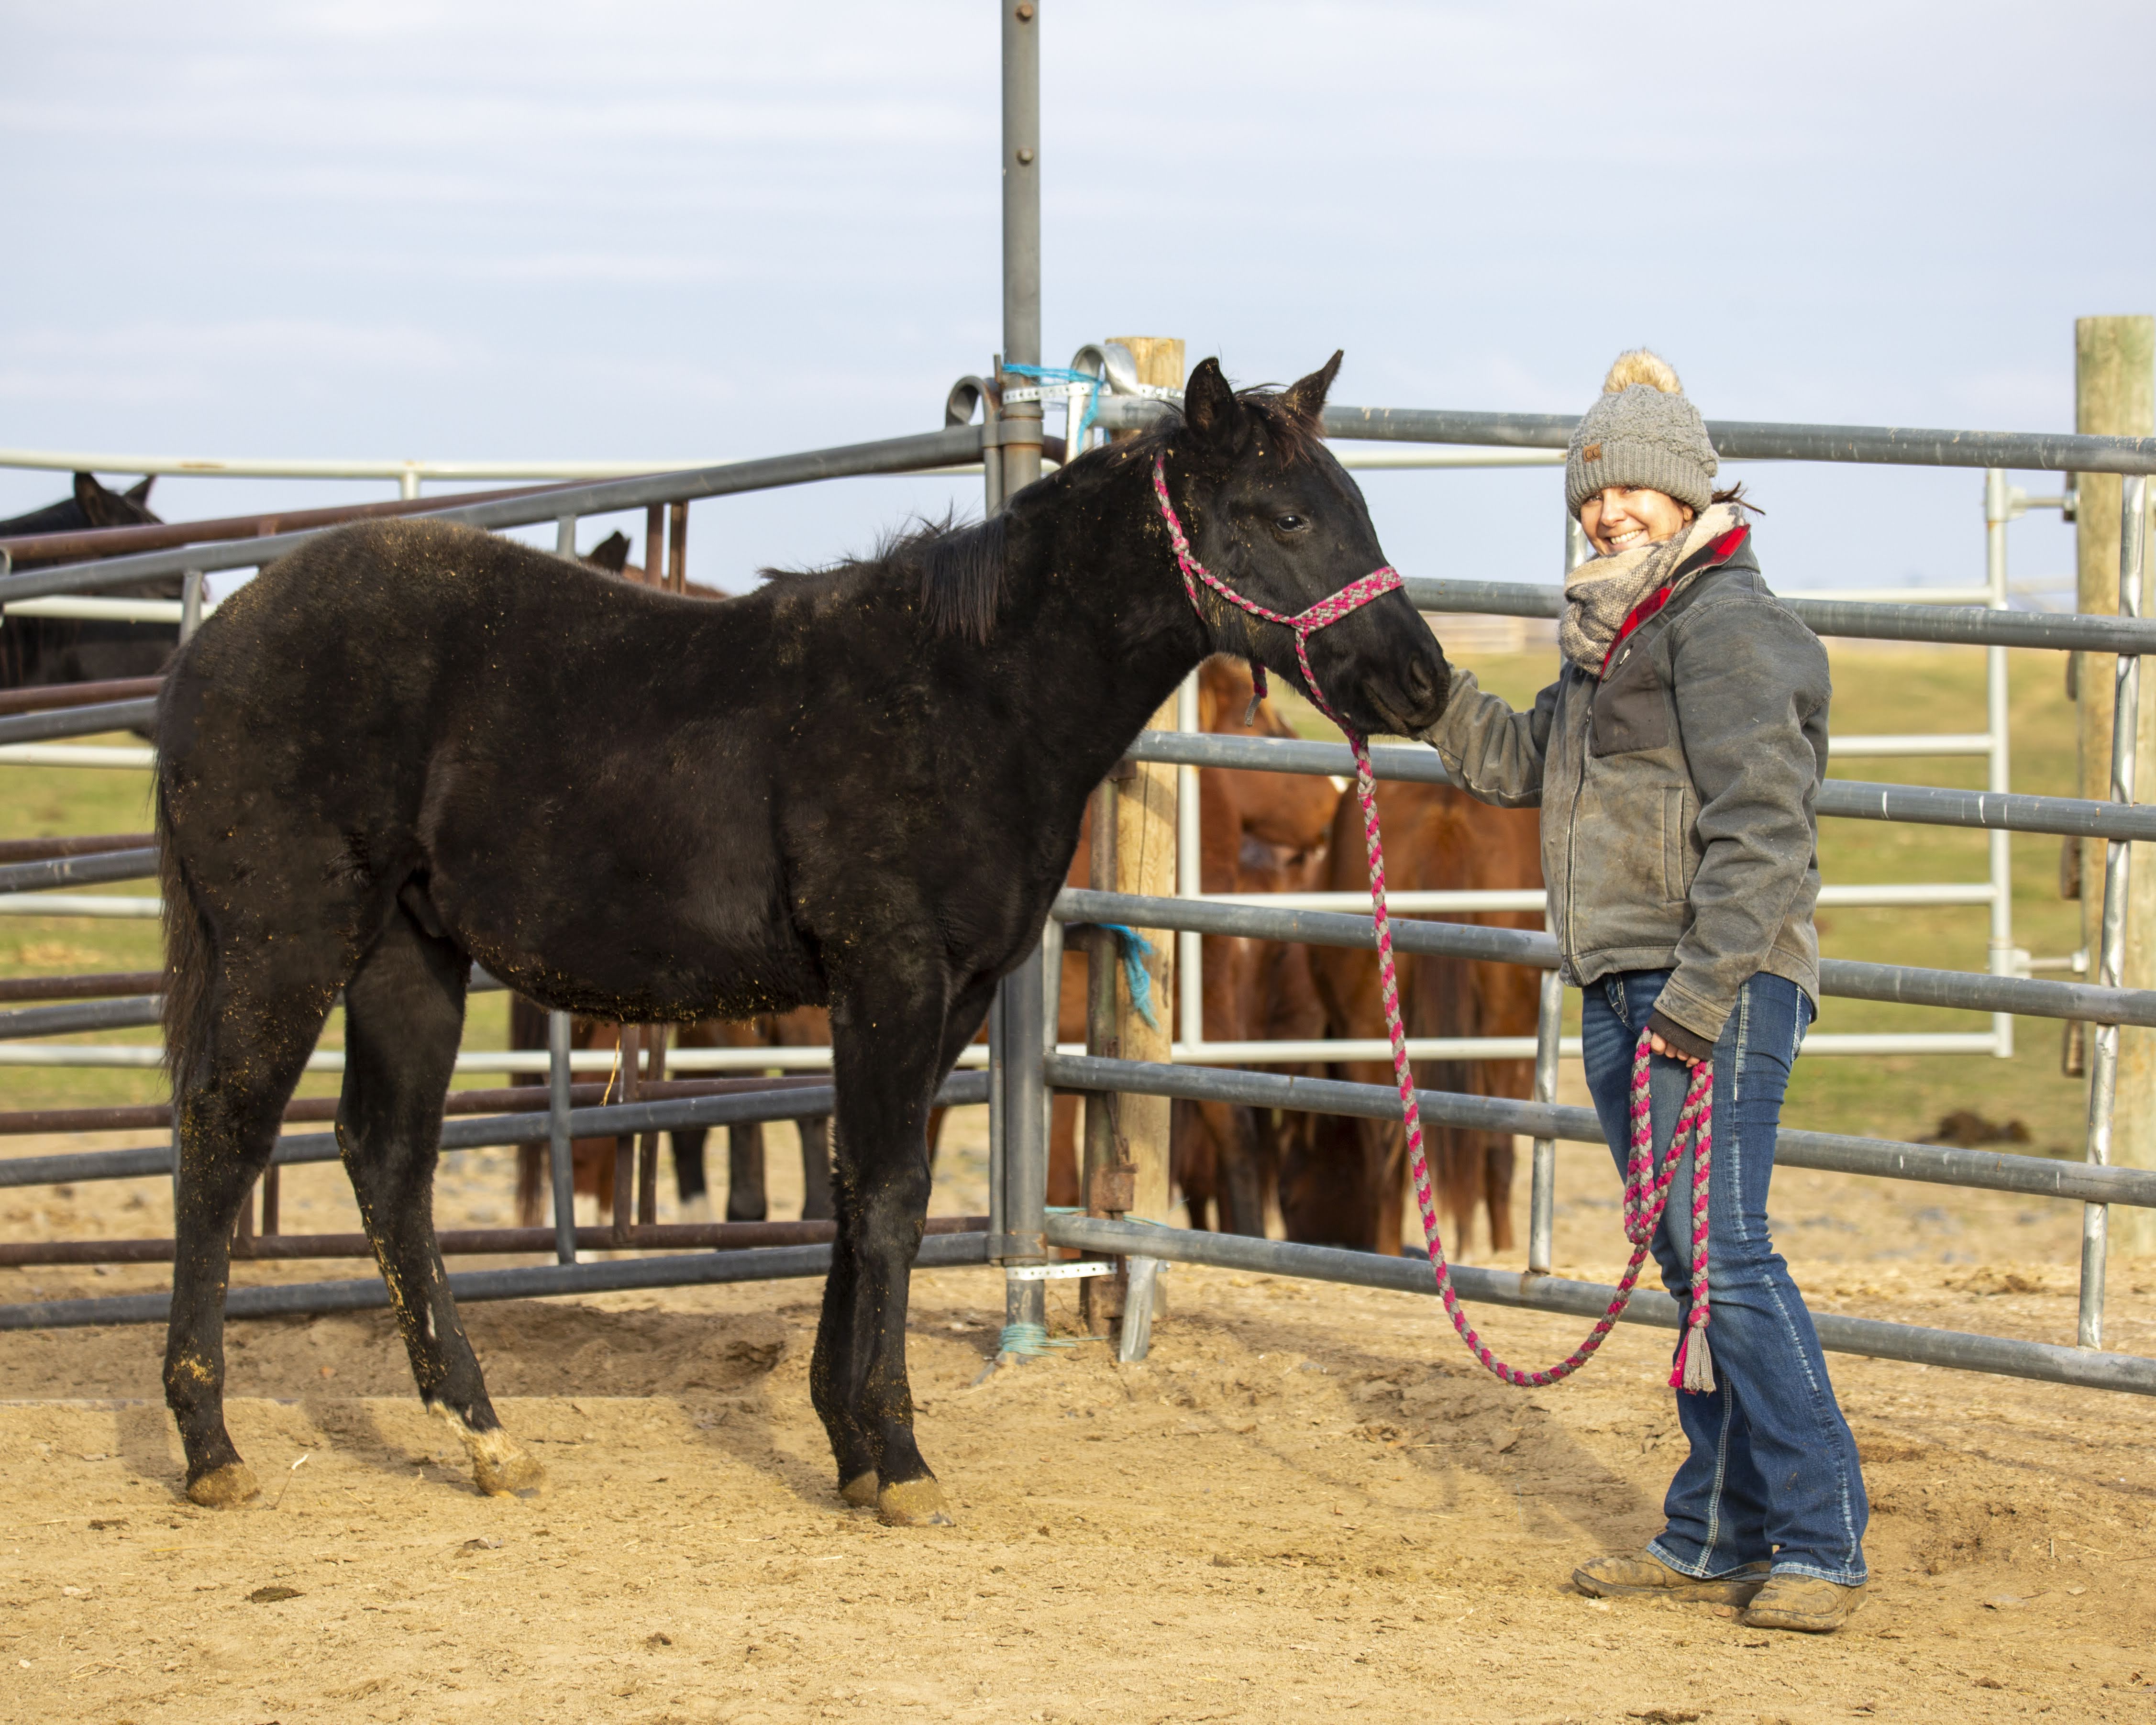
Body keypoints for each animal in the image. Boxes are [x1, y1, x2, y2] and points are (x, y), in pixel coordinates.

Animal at [152, 352, 1450, 1524]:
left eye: (1356, 504)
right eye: (1285, 516)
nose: (1423, 680)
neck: (970, 698)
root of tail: (211, 646)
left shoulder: (947, 995)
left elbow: (864, 1186)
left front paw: (851, 1446)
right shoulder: (889, 974)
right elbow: (888, 1195)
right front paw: (900, 1461)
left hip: (408, 955)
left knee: (387, 1161)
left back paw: (484, 1438)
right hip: (289, 939)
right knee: (225, 1134)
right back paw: (210, 1443)